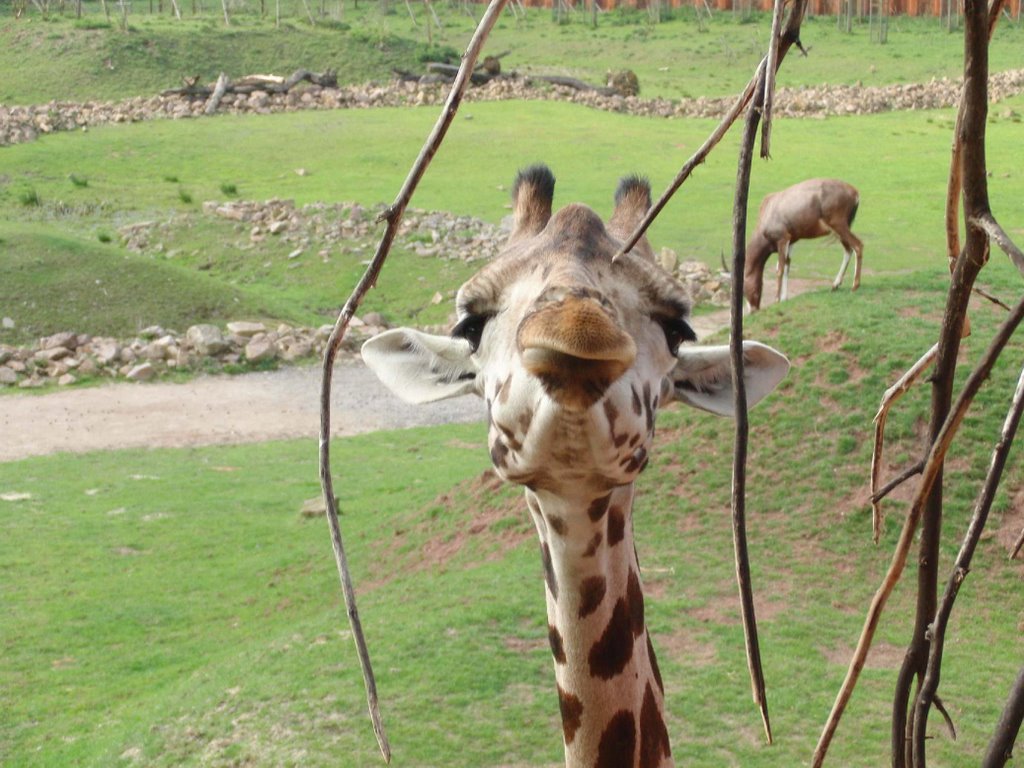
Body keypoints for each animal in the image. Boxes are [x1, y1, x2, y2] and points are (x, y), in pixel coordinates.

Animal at [745, 179, 864, 311]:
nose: (753, 310)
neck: (769, 209)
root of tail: (855, 193)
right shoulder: (791, 241)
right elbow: (787, 265)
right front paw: (784, 298)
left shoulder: (782, 239)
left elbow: (780, 269)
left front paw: (777, 300)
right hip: (841, 229)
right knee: (848, 250)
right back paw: (835, 285)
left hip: (838, 226)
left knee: (857, 245)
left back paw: (854, 286)